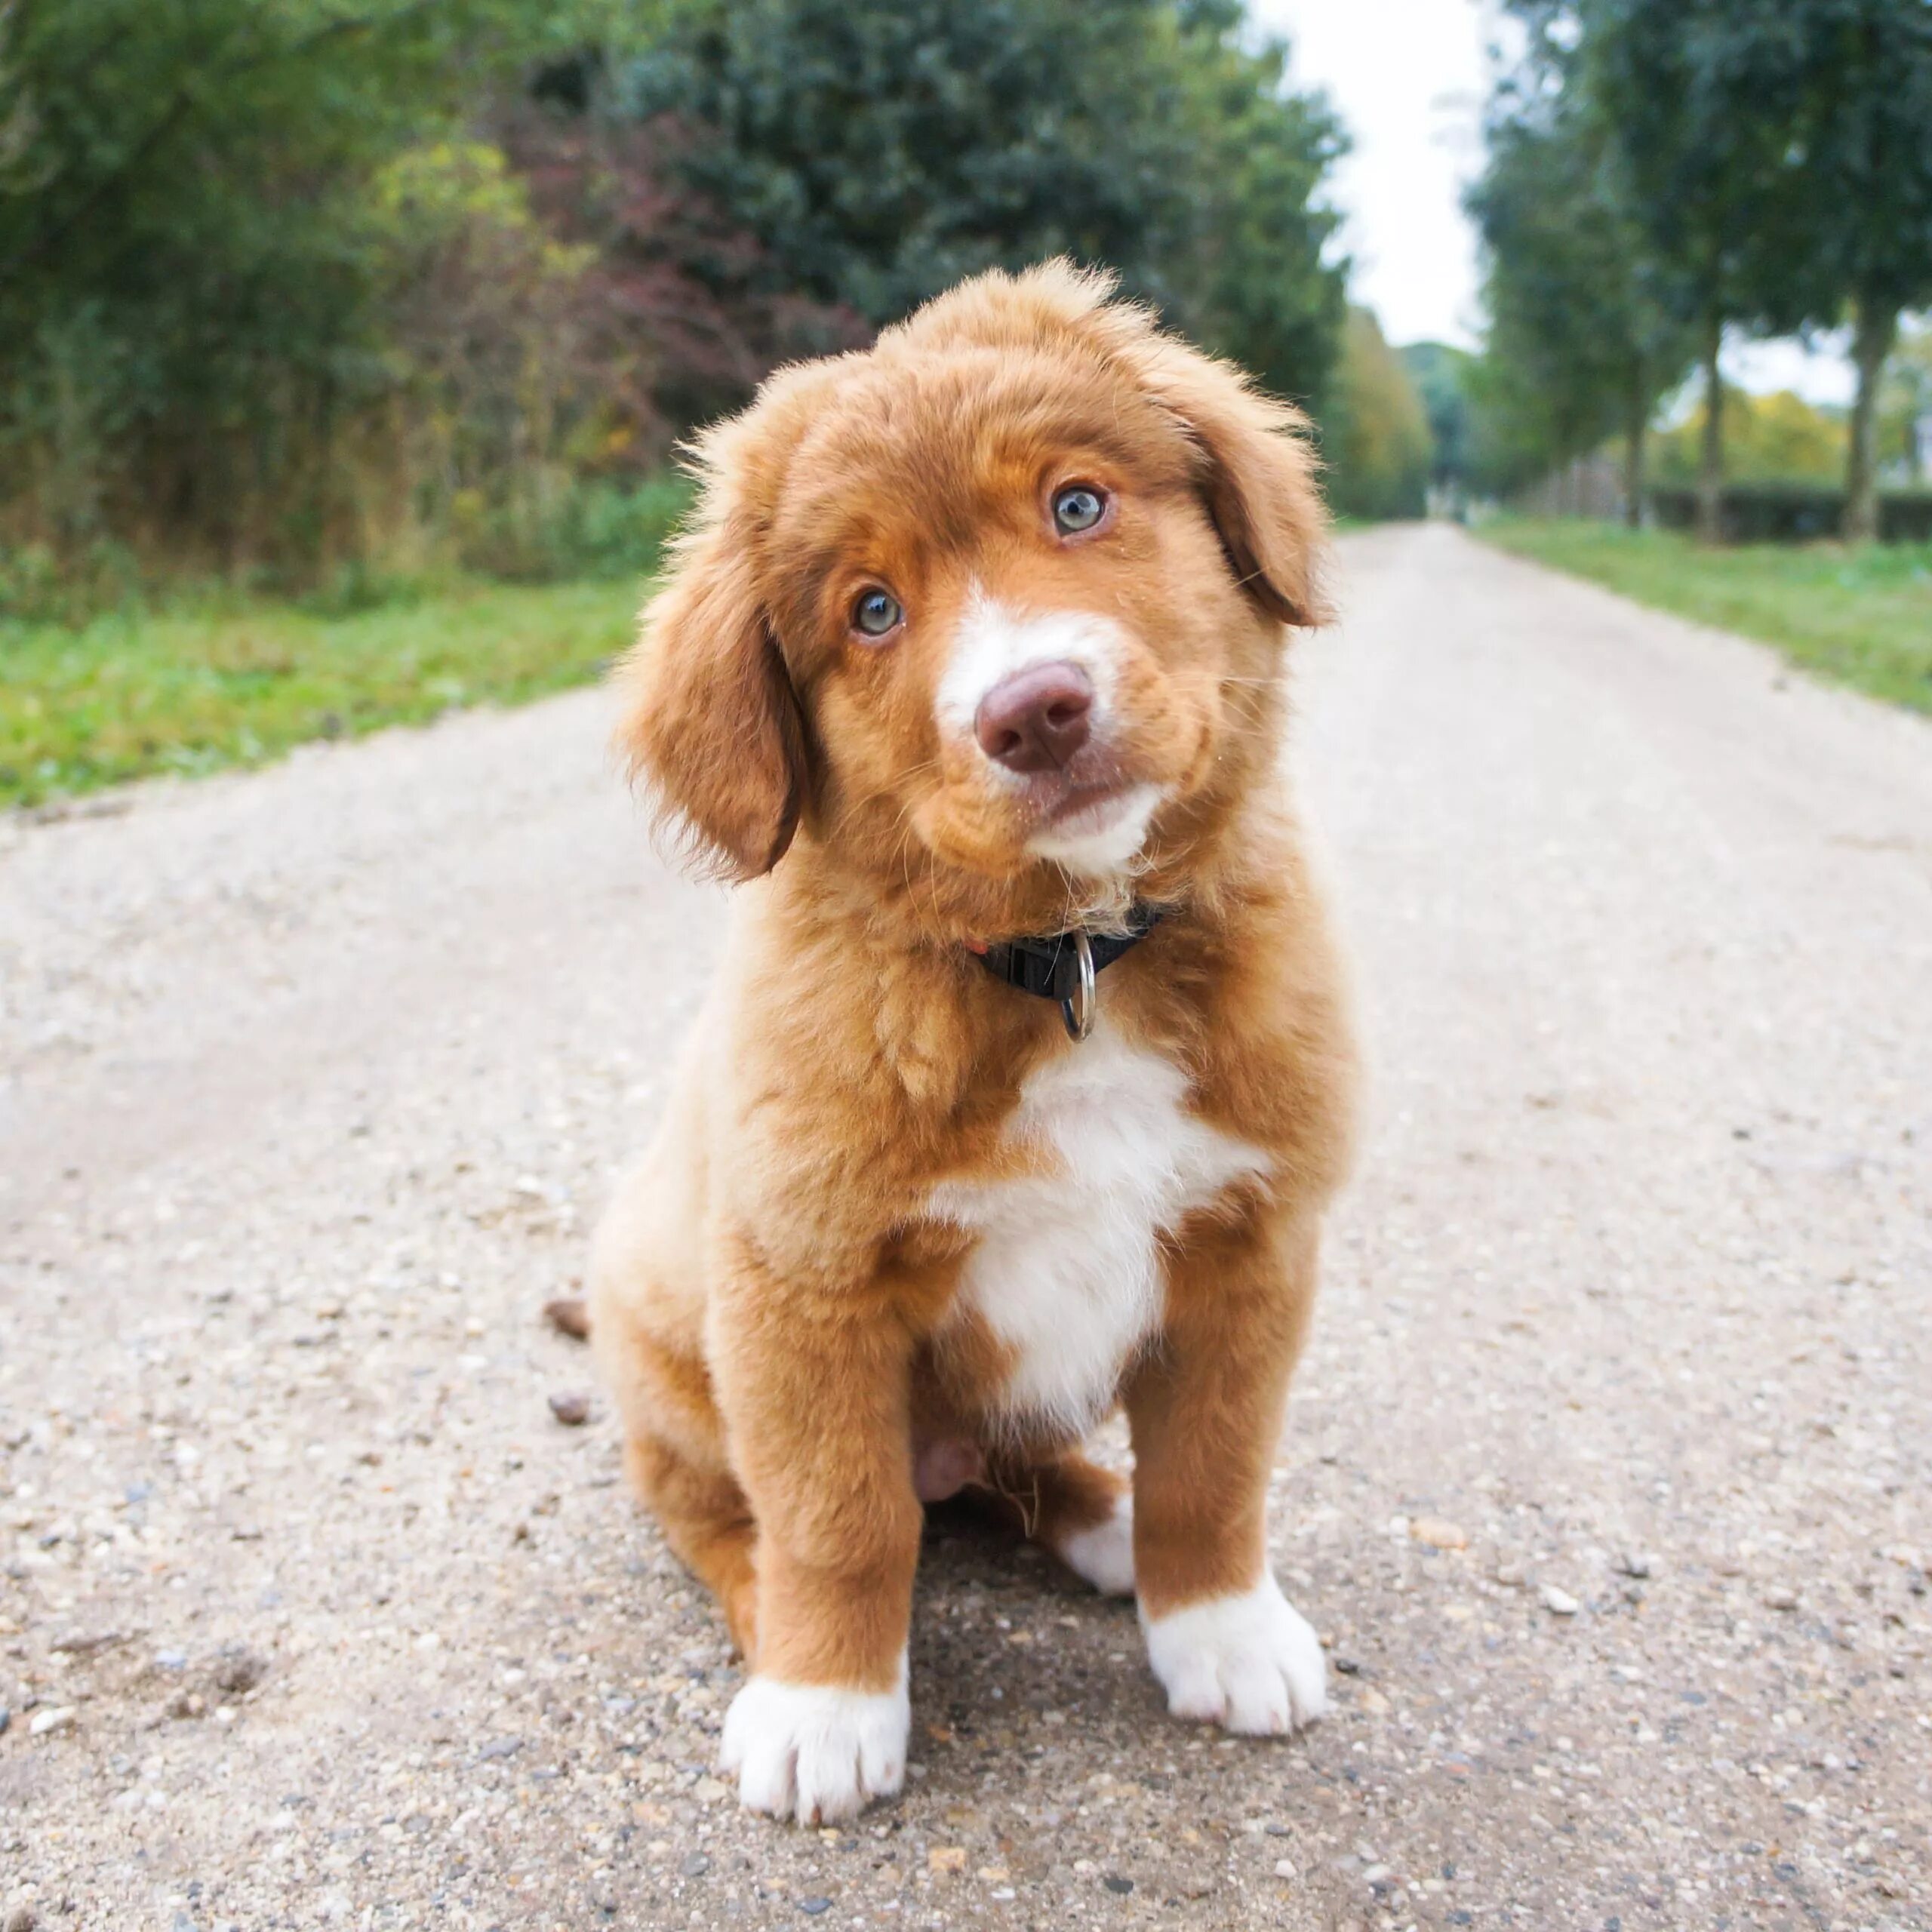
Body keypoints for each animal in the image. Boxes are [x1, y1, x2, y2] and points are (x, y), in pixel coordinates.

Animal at [587, 260, 1360, 1823]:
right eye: (873, 610)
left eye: (1078, 505)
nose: (1036, 710)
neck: (1070, 967)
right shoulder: (802, 1284)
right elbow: (839, 1516)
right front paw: (827, 1702)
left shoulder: (1253, 1242)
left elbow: (1216, 1467)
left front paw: (1221, 1628)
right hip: (665, 1349)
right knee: (725, 1516)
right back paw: (775, 1633)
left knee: (1034, 1469)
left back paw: (1109, 1527)